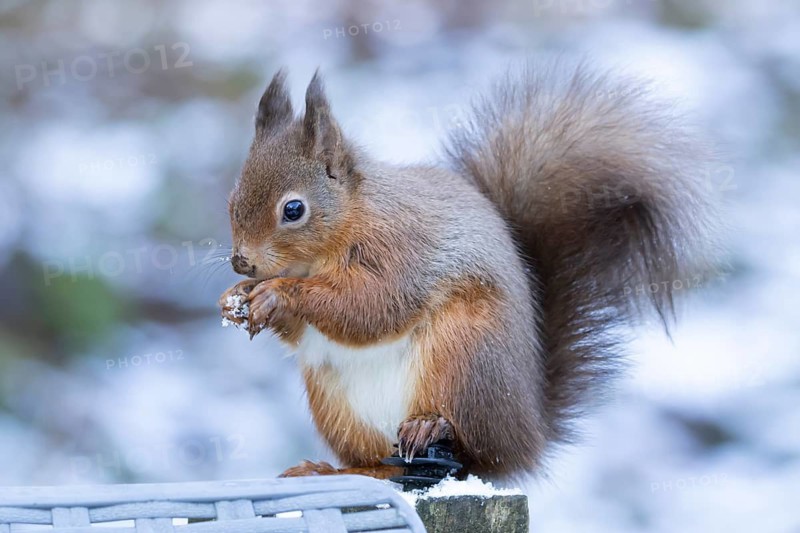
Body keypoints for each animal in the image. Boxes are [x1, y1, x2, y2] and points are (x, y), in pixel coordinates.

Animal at [219, 62, 719, 480]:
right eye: (231, 200)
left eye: (294, 209)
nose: (242, 261)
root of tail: (527, 437)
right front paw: (238, 297)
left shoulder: (401, 249)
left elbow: (372, 306)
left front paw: (278, 293)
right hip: (338, 405)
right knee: (385, 466)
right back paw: (331, 471)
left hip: (465, 355)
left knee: (470, 451)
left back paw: (429, 427)